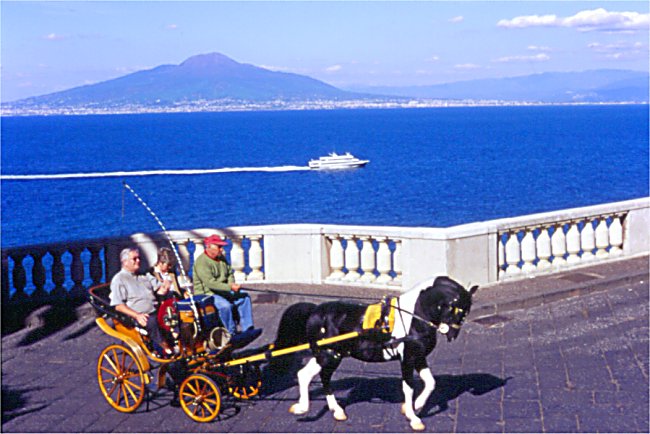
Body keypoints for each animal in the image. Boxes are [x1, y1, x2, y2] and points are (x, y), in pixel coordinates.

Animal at [272, 276, 476, 428]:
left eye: (466, 312)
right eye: (457, 309)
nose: (452, 334)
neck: (413, 318)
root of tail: (315, 310)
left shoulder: (418, 357)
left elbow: (430, 382)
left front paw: (415, 405)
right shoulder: (407, 358)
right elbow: (408, 387)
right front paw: (413, 418)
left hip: (328, 354)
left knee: (308, 375)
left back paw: (321, 409)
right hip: (328, 355)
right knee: (319, 377)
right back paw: (317, 409)